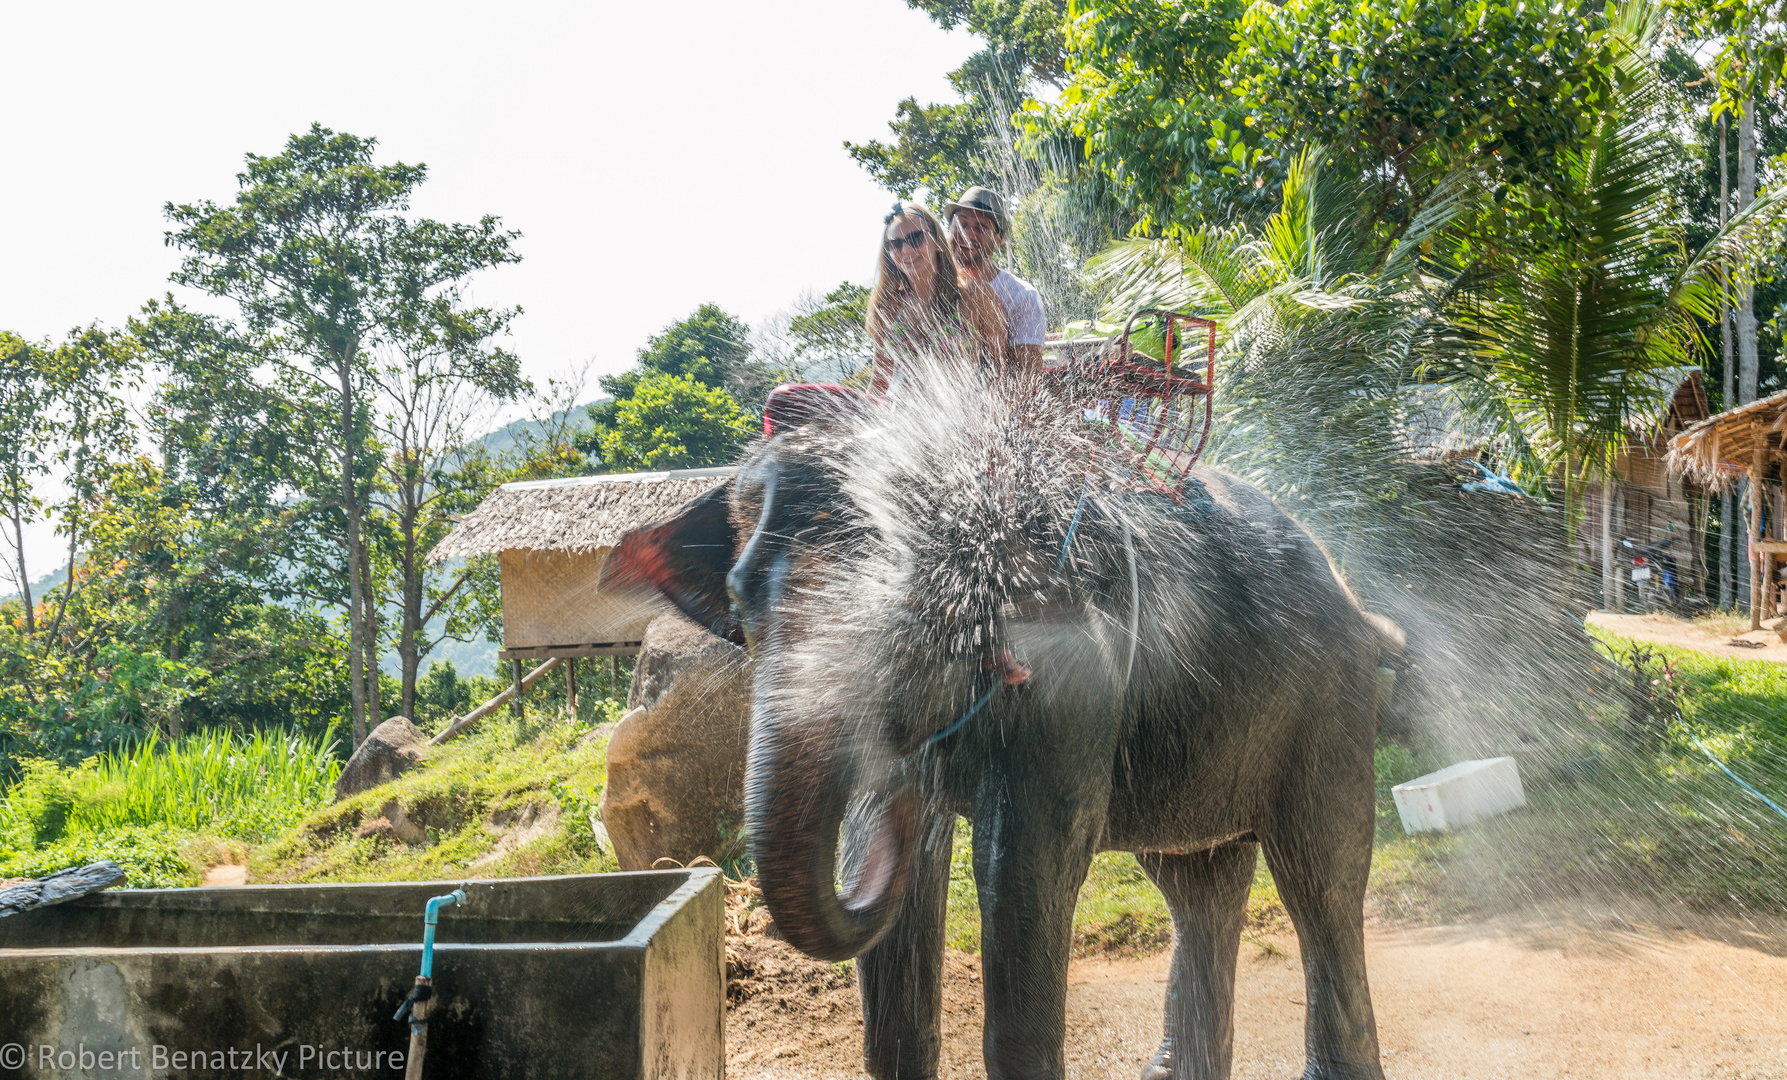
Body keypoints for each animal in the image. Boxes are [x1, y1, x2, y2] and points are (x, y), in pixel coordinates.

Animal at [607, 379, 1386, 1080]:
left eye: (914, 605)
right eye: (740, 605)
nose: (908, 783)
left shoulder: (1071, 667)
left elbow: (1025, 859)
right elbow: (899, 883)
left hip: (1332, 701)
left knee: (1321, 877)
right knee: (1197, 883)